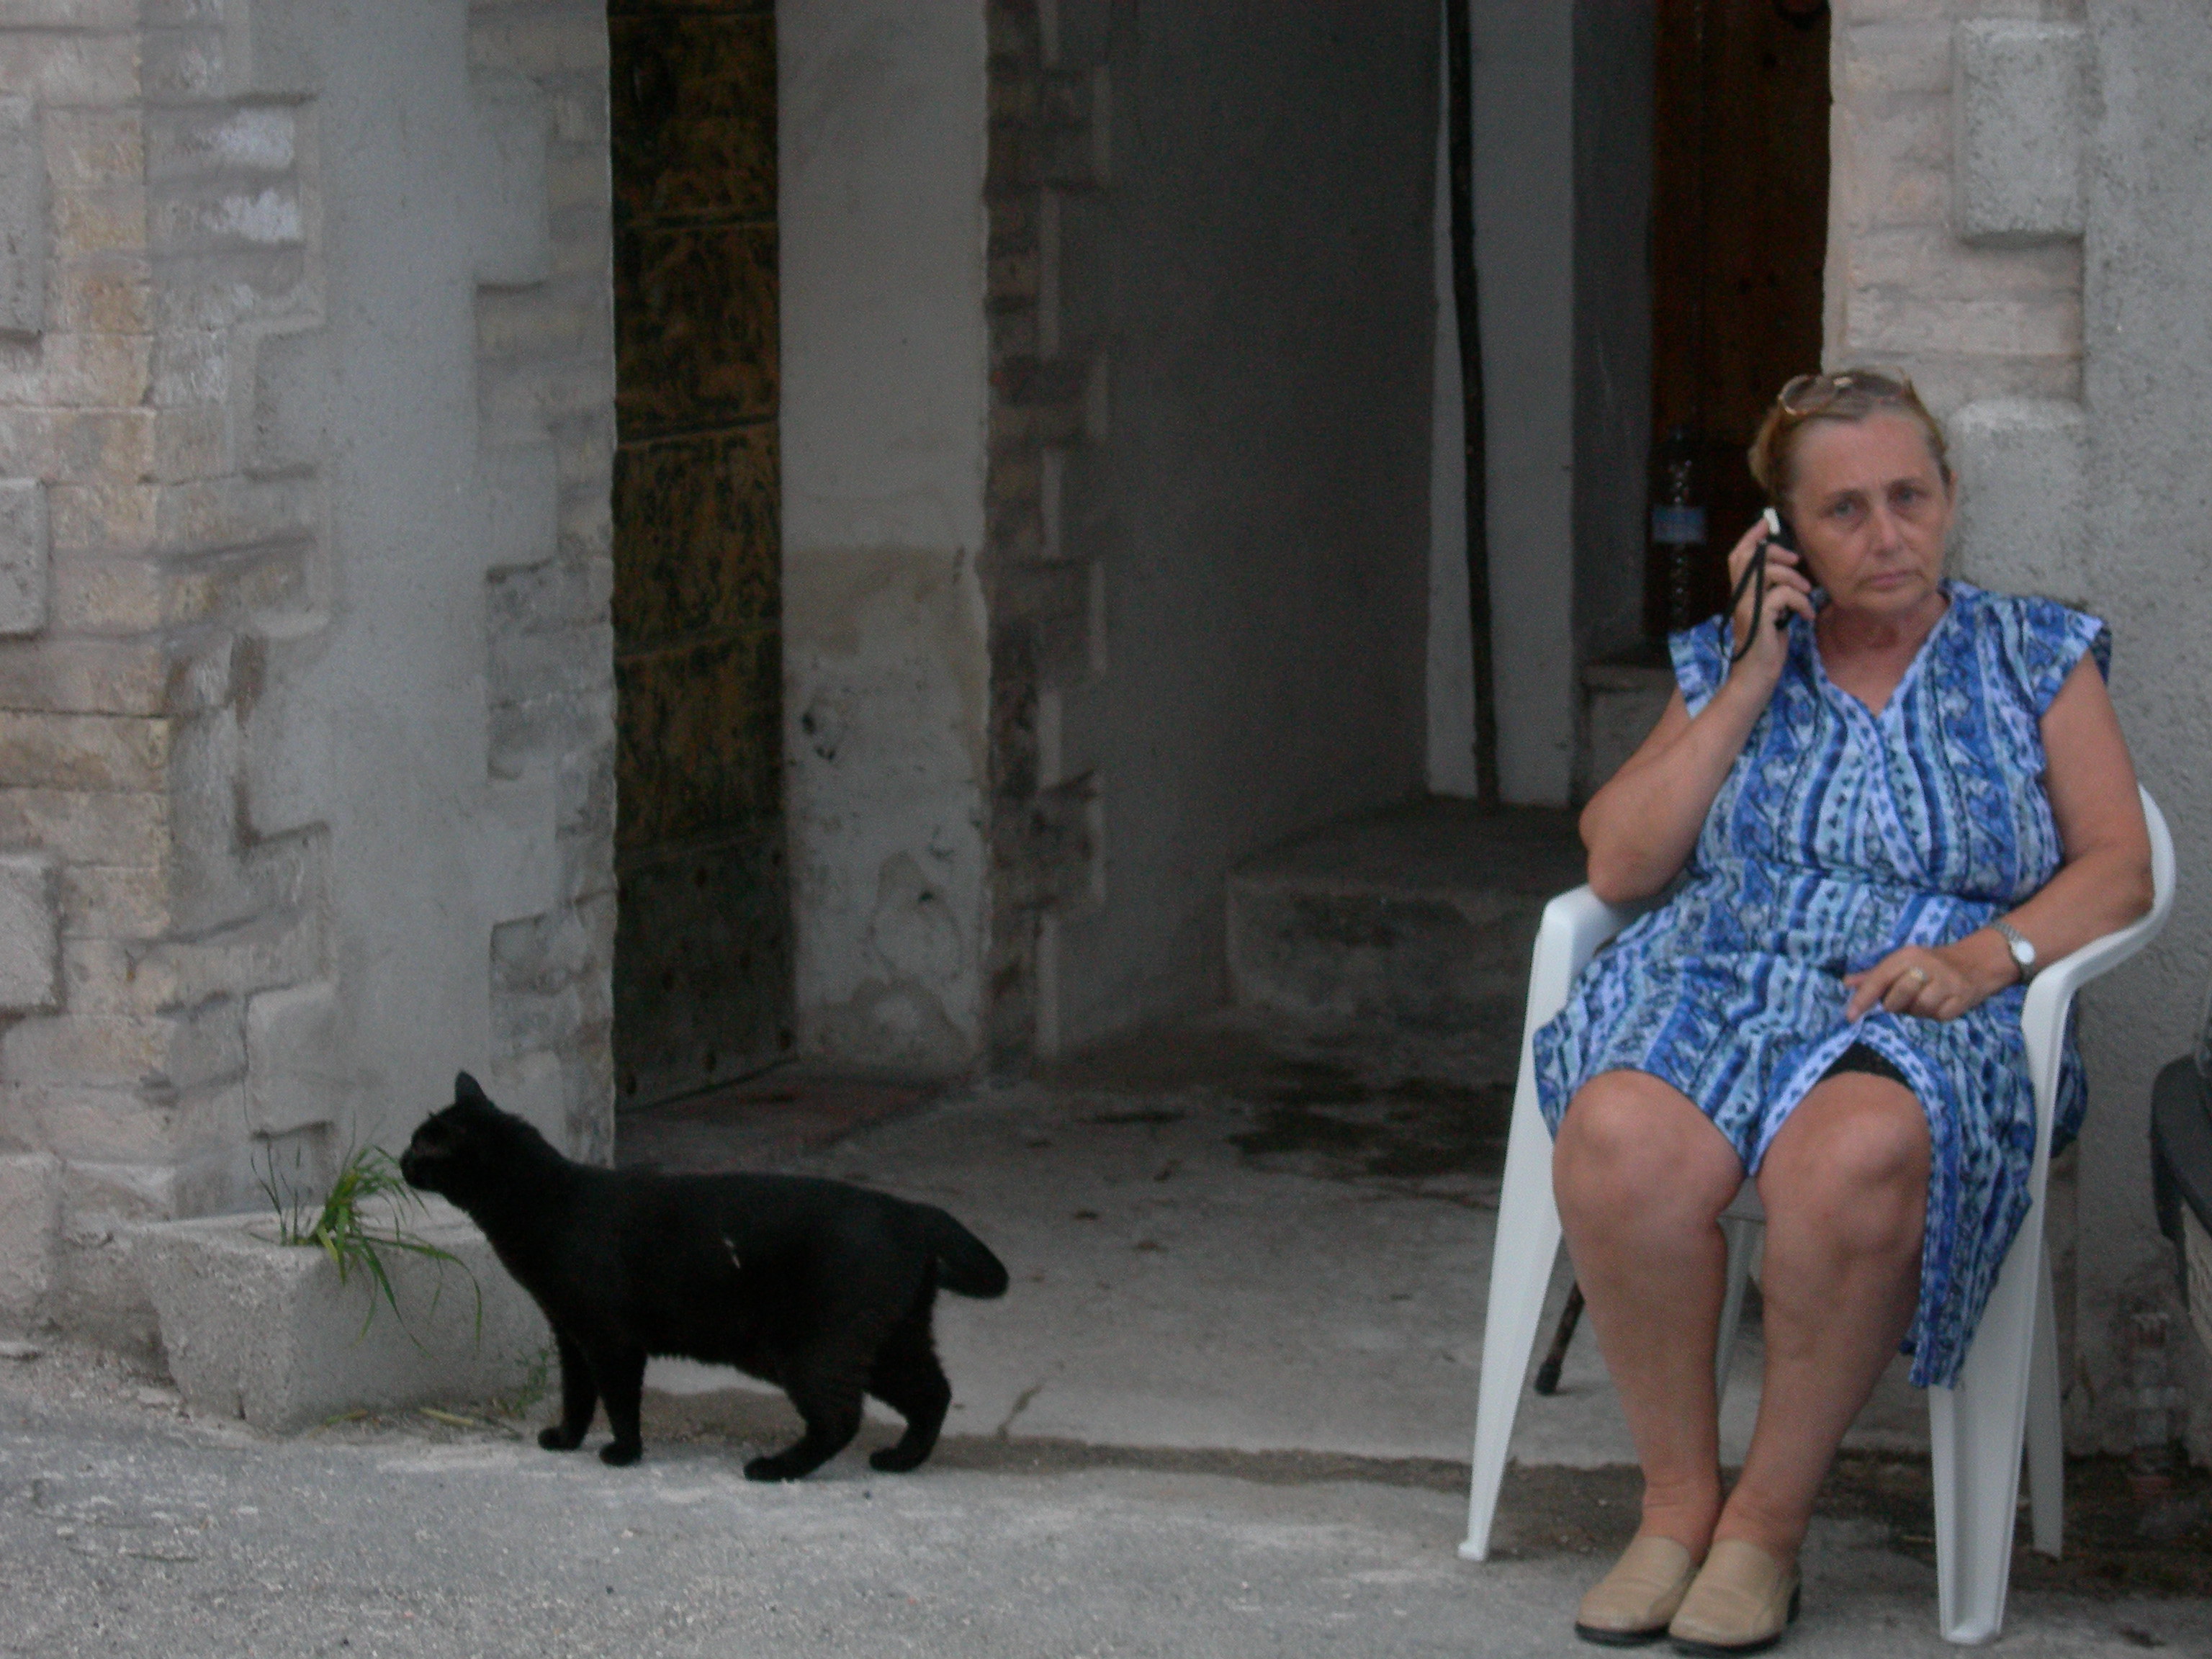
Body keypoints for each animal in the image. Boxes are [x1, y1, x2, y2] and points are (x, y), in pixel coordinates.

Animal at [398, 1072, 1009, 1481]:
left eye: (421, 1145)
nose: (400, 1161)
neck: (546, 1202)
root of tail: (912, 1211)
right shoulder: (570, 1337)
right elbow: (577, 1397)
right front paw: (567, 1440)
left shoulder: (610, 1339)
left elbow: (619, 1402)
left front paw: (623, 1453)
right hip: (892, 1340)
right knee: (933, 1393)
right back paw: (902, 1460)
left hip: (814, 1349)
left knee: (841, 1417)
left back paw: (774, 1468)